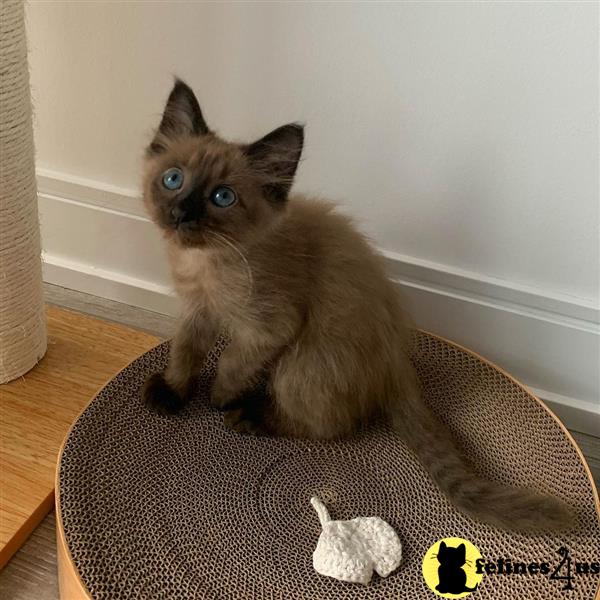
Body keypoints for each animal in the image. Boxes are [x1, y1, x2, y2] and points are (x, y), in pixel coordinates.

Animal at [139, 78, 572, 528]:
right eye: (173, 179)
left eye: (222, 197)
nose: (181, 212)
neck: (206, 262)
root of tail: (398, 366)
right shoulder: (196, 310)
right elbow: (184, 352)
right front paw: (172, 392)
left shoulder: (270, 327)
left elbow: (230, 363)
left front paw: (220, 397)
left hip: (302, 361)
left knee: (327, 425)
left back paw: (250, 415)